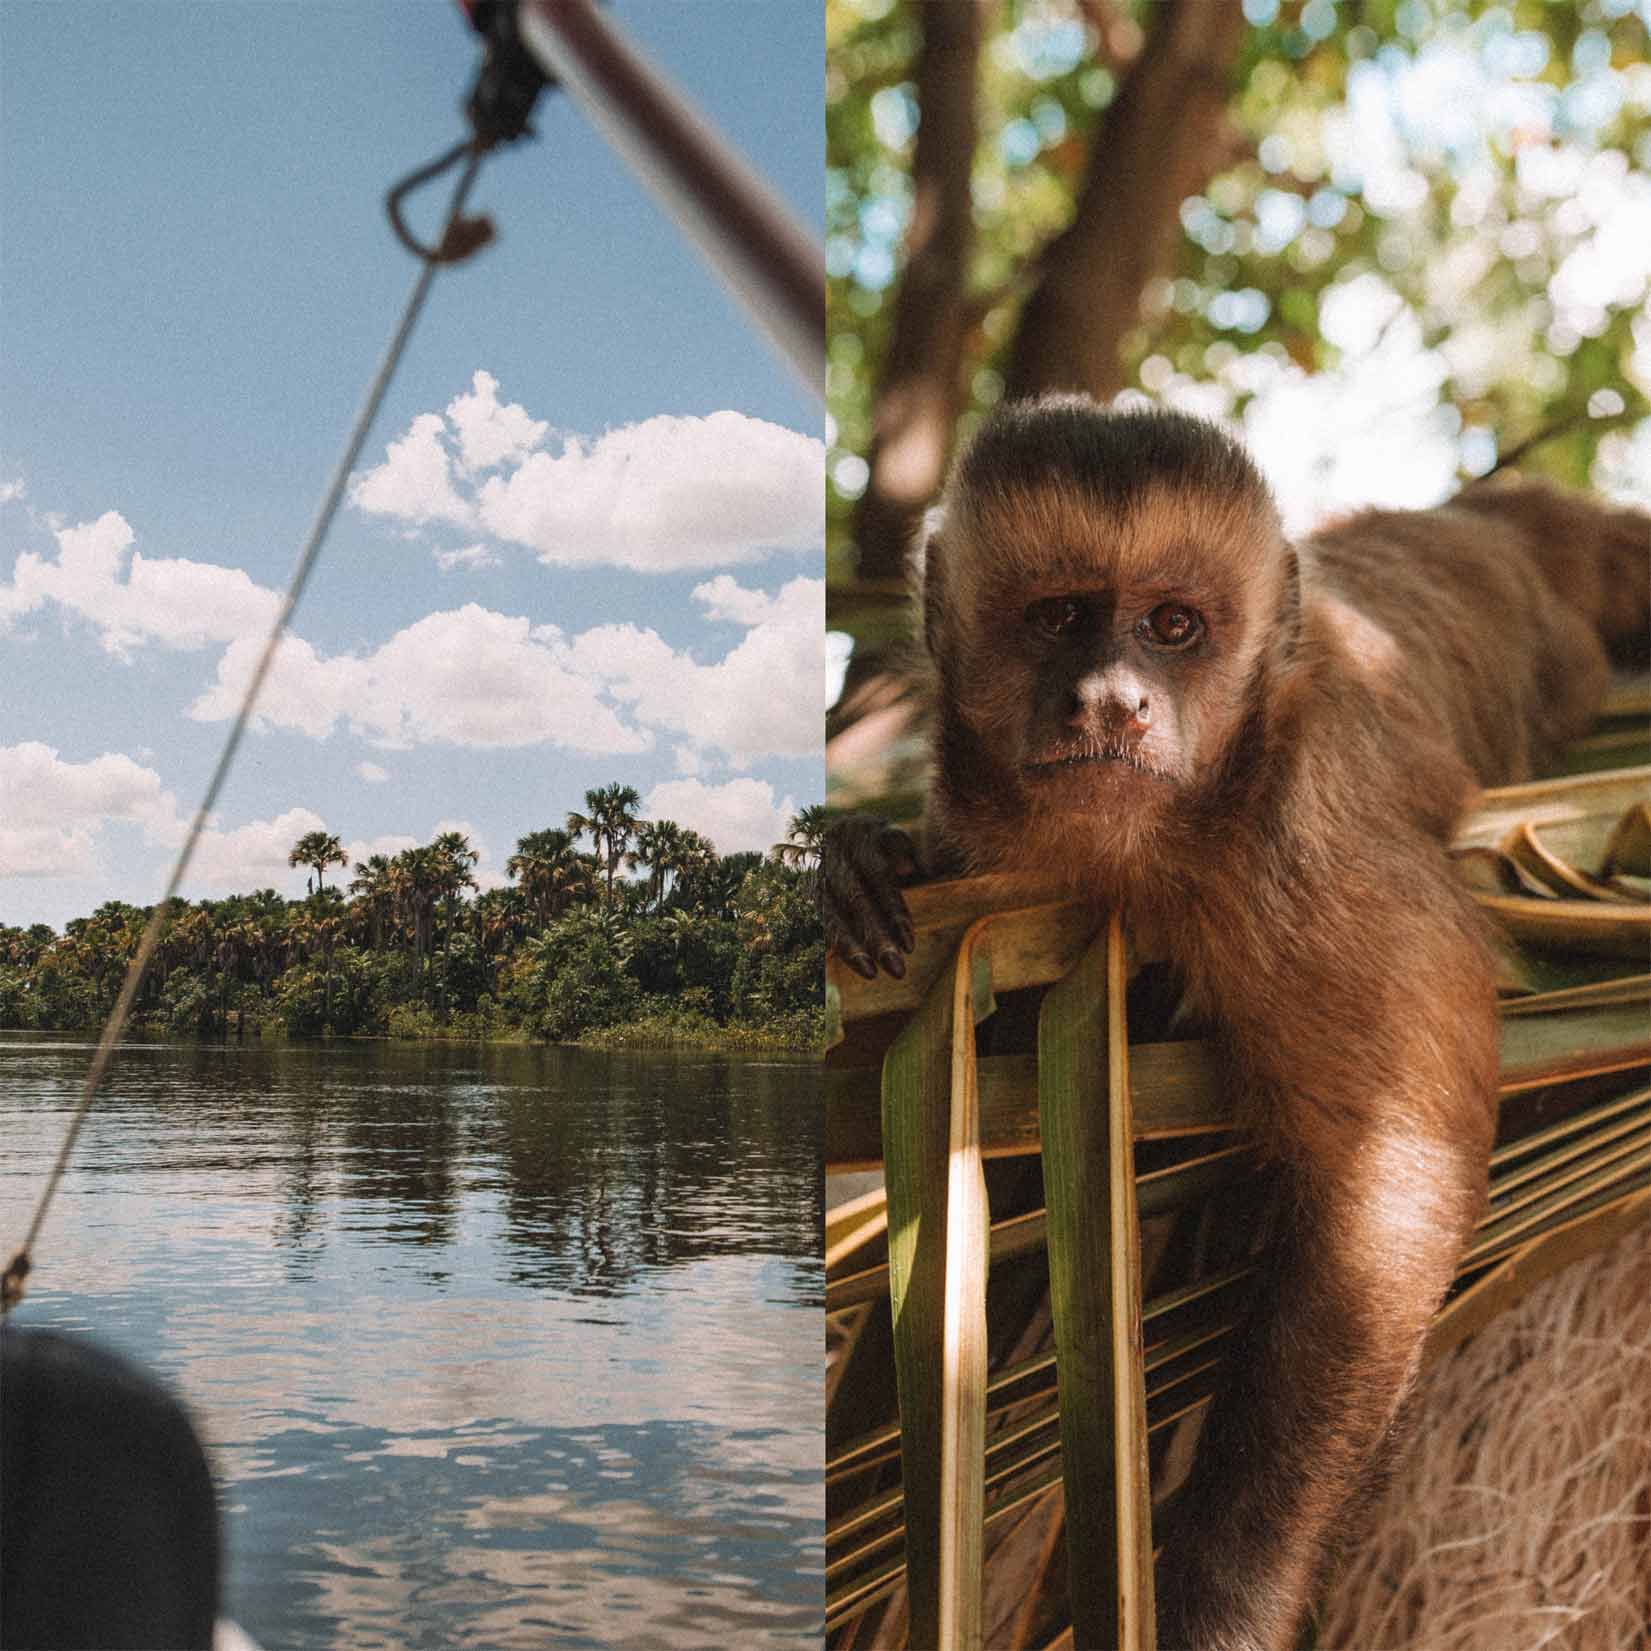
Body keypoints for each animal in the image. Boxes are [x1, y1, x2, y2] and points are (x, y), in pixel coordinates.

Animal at [825, 399, 1651, 1651]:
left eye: (1173, 627)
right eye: (1060, 616)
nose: (1112, 700)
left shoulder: (1299, 837)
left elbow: (1391, 1173)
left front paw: (1218, 1598)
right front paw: (859, 864)